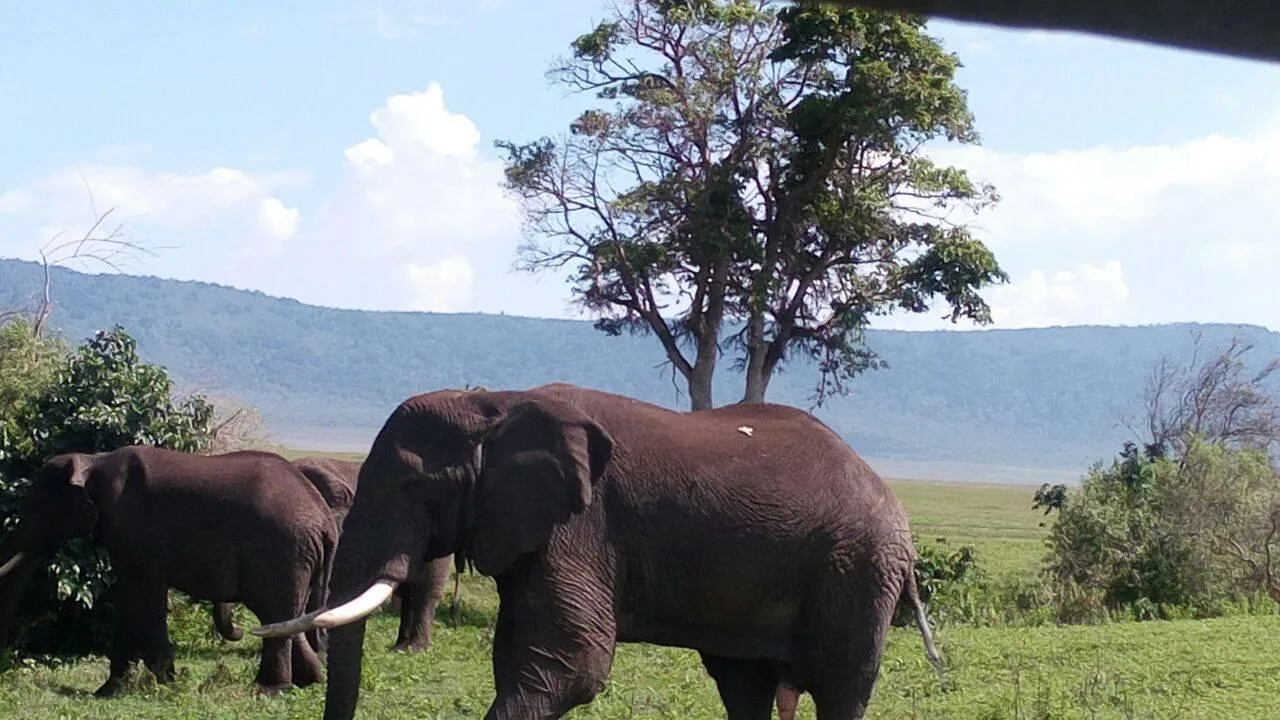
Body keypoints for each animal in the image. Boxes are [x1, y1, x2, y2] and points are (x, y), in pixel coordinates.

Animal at [0, 445, 338, 697]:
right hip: (300, 558)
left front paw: (166, 683)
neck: (94, 460)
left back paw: (268, 690)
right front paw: (109, 691)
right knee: (290, 617)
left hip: (281, 552)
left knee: (276, 613)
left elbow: (146, 598)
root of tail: (324, 518)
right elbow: (129, 600)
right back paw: (308, 682)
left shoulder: (135, 532)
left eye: (40, 507)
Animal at [254, 383, 943, 720]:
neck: (495, 401)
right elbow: (520, 655)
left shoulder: (583, 523)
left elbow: (571, 664)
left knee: (840, 688)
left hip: (858, 569)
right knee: (742, 684)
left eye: (413, 487)